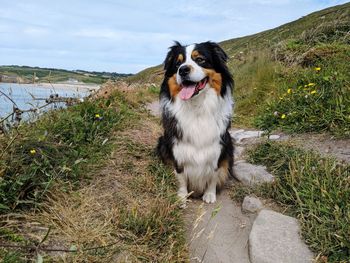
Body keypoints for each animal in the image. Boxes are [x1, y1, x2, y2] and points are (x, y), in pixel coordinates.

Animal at [157, 41, 234, 205]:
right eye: (178, 63)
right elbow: (180, 176)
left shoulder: (218, 146)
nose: (183, 70)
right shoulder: (176, 147)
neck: (197, 107)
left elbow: (214, 173)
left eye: (200, 59)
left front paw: (210, 194)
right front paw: (181, 197)